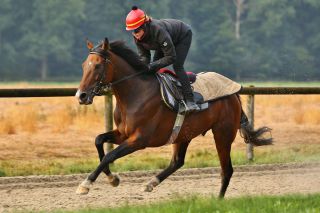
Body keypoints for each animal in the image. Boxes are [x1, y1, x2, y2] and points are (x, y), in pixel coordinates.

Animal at [75, 37, 272, 198]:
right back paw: (150, 183)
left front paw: (86, 184)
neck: (135, 94)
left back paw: (218, 201)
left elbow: (109, 155)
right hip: (184, 133)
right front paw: (112, 178)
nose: (81, 96)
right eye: (84, 65)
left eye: (98, 65)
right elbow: (99, 140)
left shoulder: (139, 139)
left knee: (227, 170)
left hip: (222, 134)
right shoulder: (123, 134)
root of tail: (235, 93)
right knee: (178, 161)